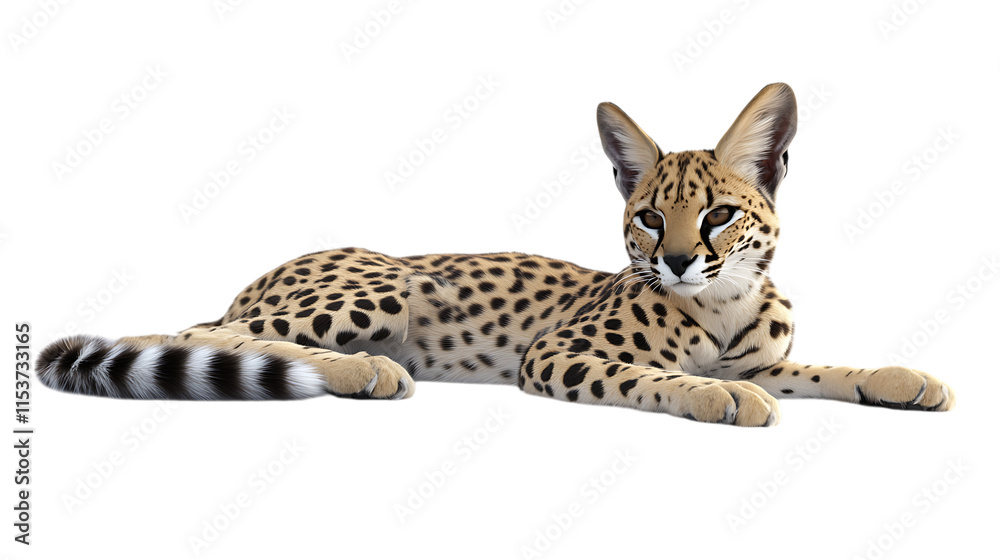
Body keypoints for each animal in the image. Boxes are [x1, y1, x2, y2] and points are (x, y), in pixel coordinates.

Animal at [37, 83, 955, 426]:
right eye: (649, 219)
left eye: (721, 215)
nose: (677, 261)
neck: (723, 302)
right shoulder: (556, 353)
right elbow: (654, 376)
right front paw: (710, 394)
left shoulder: (764, 356)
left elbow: (825, 368)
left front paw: (901, 378)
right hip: (395, 279)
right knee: (211, 336)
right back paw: (363, 370)